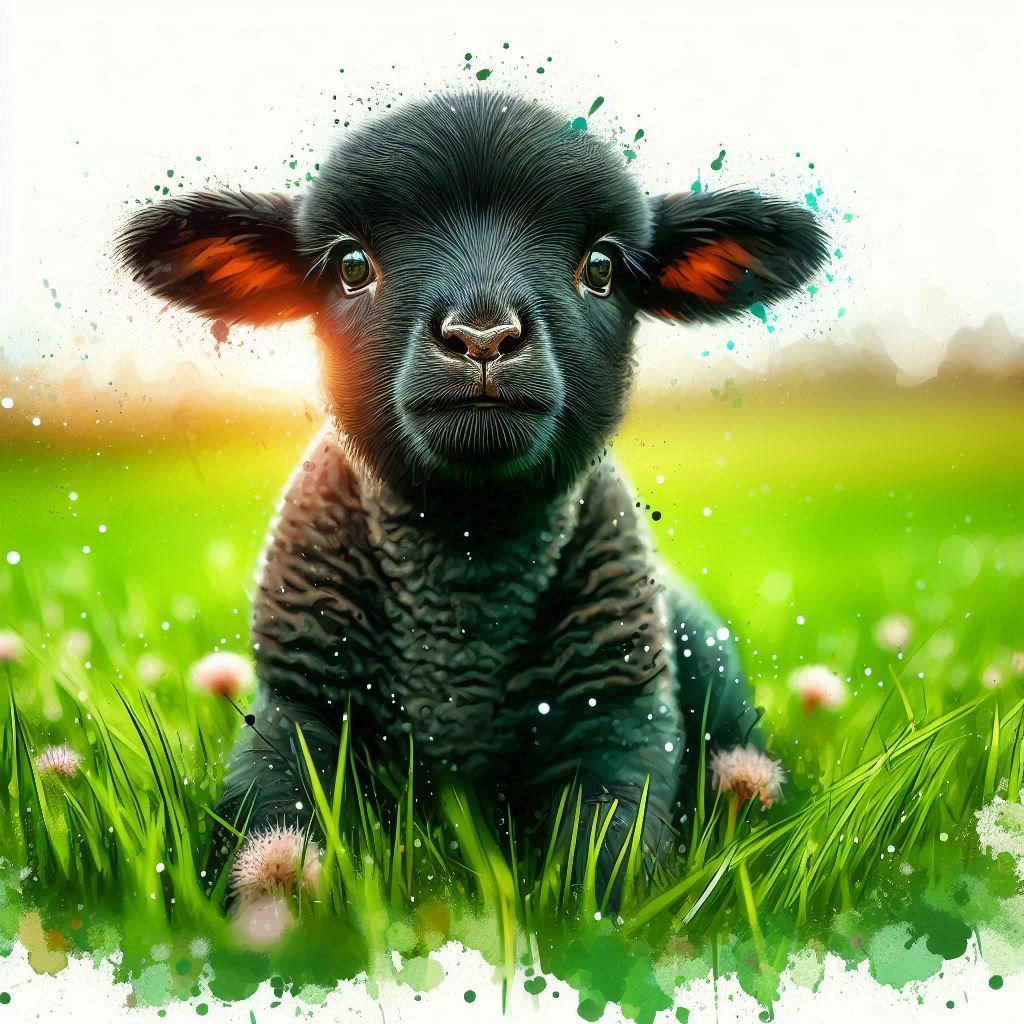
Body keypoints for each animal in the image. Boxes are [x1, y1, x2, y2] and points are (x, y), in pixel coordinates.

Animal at [117, 90, 828, 923]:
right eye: (352, 265)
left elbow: (608, 873)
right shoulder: (297, 713)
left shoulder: (619, 724)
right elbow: (269, 836)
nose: (482, 337)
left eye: (601, 267)